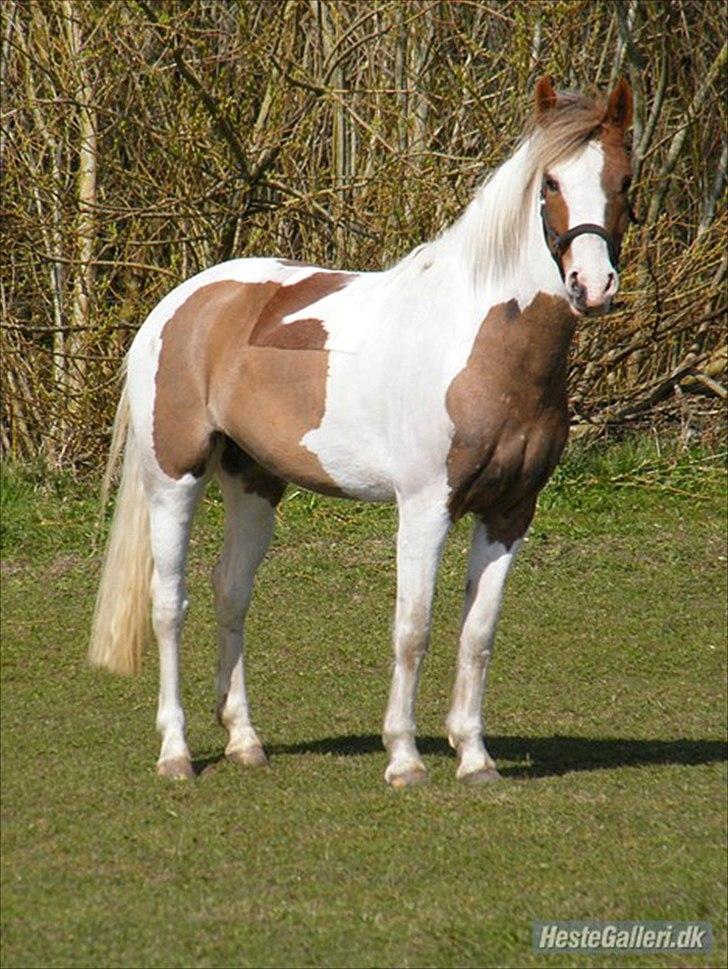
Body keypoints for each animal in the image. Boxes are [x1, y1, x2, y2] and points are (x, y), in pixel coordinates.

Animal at [90, 77, 634, 787]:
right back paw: (176, 752)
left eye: (625, 180)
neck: (482, 344)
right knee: (168, 604)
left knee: (230, 592)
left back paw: (244, 741)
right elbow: (414, 628)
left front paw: (475, 757)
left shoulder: (512, 511)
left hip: (254, 483)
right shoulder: (425, 507)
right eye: (549, 182)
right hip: (174, 480)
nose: (591, 286)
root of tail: (181, 305)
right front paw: (404, 758)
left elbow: (478, 634)